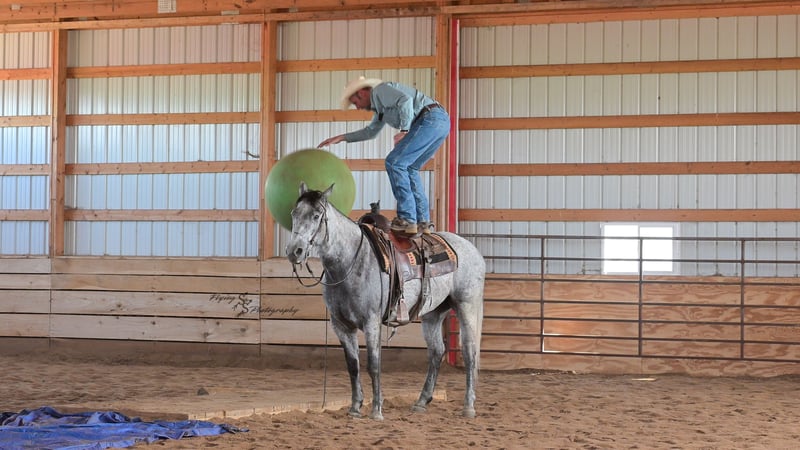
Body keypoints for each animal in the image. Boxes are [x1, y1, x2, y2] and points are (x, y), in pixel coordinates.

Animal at [285, 183, 485, 420]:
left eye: (316, 216)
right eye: (294, 213)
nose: (294, 251)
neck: (351, 261)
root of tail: (472, 249)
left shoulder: (371, 322)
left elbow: (374, 364)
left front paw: (376, 410)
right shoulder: (341, 325)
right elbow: (353, 366)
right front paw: (355, 408)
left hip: (467, 305)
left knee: (470, 352)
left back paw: (469, 406)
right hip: (433, 313)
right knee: (436, 352)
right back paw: (421, 401)